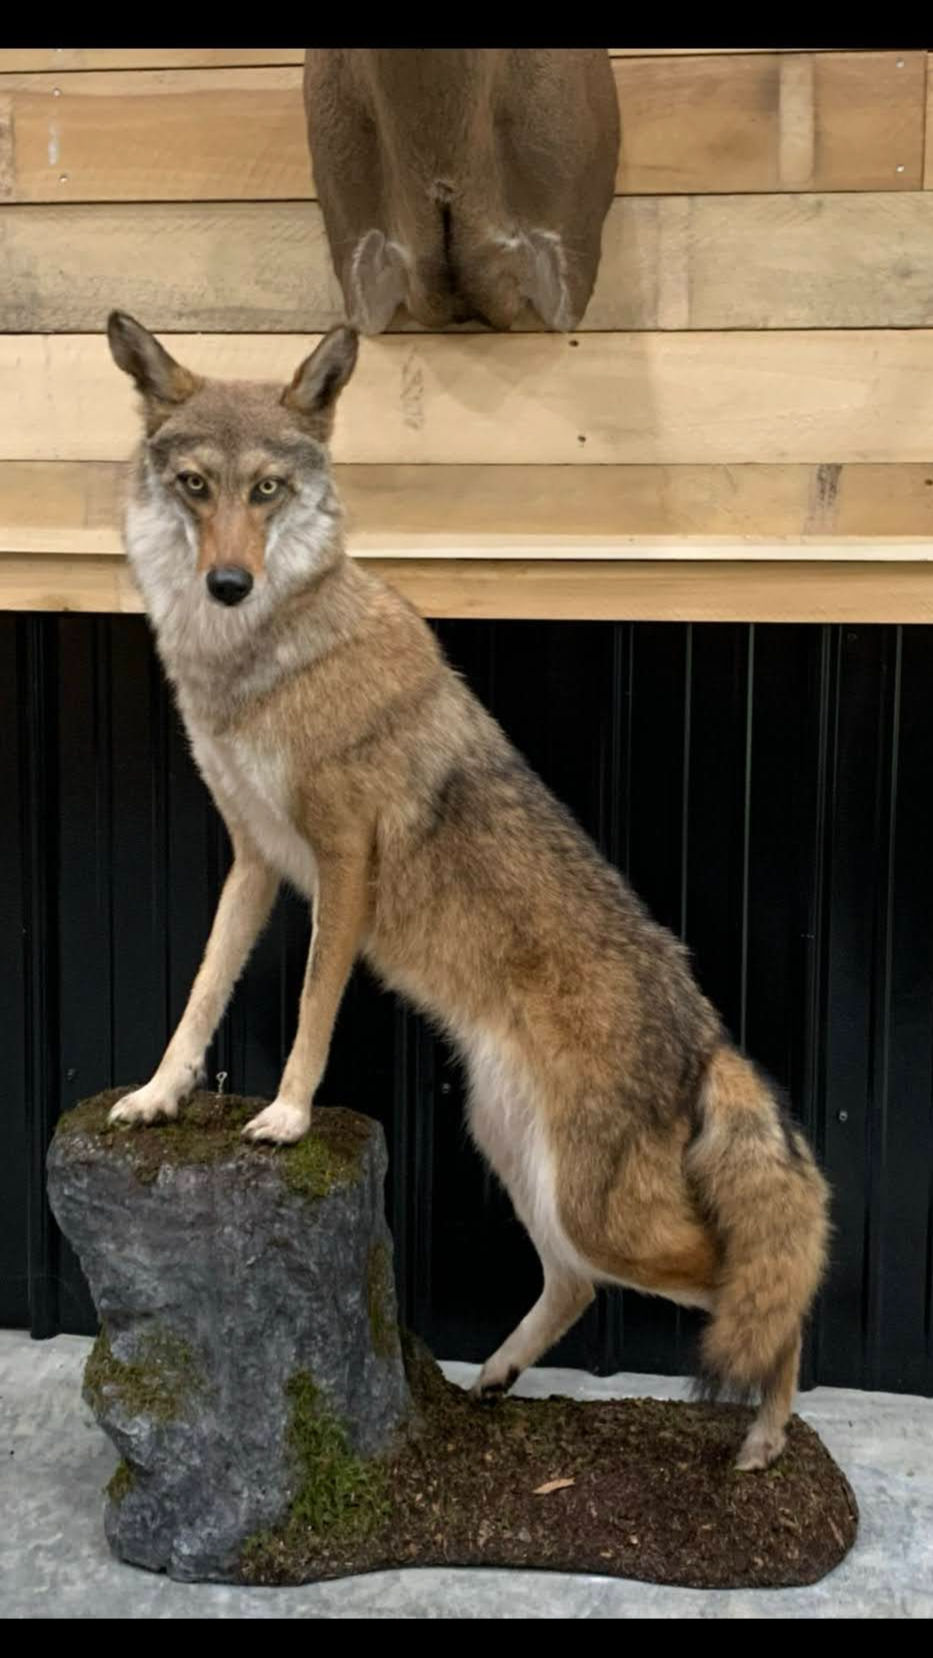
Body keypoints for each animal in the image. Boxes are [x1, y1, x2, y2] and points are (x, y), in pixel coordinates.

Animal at [105, 312, 830, 1470]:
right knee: (581, 1286)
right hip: (522, 1163)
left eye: (267, 490)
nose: (228, 584)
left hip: (596, 1210)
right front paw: (157, 1095)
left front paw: (287, 1116)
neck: (258, 662)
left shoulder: (344, 860)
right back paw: (492, 1375)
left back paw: (763, 1436)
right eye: (193, 485)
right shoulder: (255, 860)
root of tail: (713, 1043)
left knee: (770, 1291)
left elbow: (312, 1003)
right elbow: (200, 994)